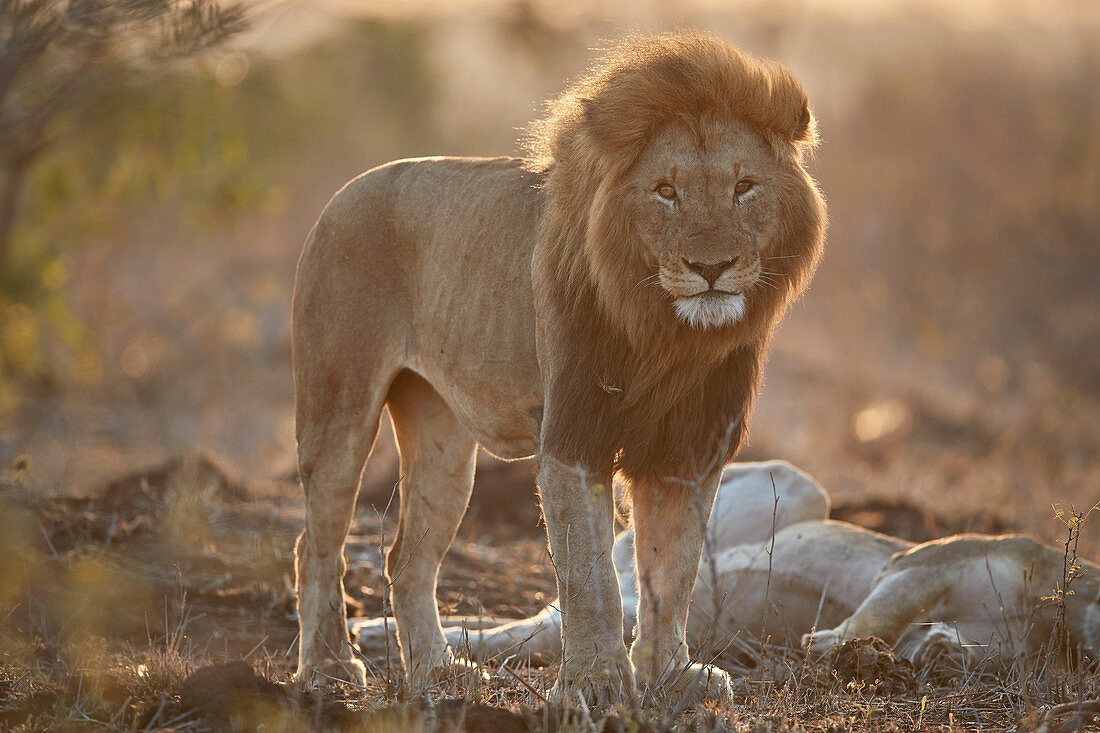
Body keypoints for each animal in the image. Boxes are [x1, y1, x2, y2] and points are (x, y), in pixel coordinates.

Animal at [292, 29, 827, 704]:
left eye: (744, 187)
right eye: (666, 191)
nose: (712, 268)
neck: (670, 337)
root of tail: (342, 194)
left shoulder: (691, 450)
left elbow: (673, 571)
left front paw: (670, 676)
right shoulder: (574, 439)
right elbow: (590, 577)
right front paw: (597, 684)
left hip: (442, 436)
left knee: (407, 557)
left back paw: (438, 671)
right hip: (338, 404)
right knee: (318, 541)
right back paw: (328, 668)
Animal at [354, 460, 1100, 669]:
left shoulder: (1000, 644)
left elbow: (935, 638)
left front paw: (932, 652)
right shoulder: (923, 561)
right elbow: (883, 612)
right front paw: (836, 646)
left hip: (607, 619)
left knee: (521, 629)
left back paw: (381, 638)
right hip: (801, 487)